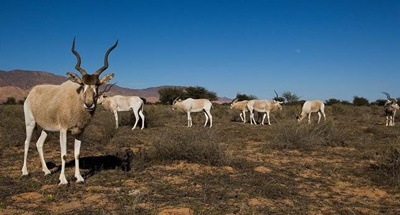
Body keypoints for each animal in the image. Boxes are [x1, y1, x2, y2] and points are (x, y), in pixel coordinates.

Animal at [21, 37, 118, 185]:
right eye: (82, 84)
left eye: (97, 84)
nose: (89, 104)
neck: (76, 99)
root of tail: (32, 92)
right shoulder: (63, 130)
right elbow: (64, 155)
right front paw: (63, 180)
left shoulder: (80, 131)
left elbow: (77, 153)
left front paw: (79, 177)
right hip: (30, 123)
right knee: (27, 143)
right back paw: (25, 172)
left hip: (46, 129)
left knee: (39, 144)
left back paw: (47, 171)